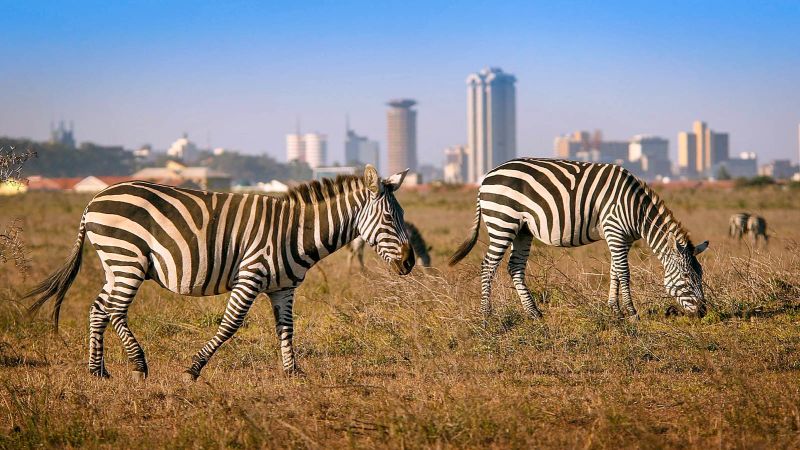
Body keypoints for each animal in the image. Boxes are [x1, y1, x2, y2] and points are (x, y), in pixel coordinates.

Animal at [22, 165, 416, 380]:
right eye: (388, 217)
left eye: (399, 216)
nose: (410, 263)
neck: (295, 232)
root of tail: (94, 199)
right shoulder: (251, 274)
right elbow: (230, 325)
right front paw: (192, 369)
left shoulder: (284, 287)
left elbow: (287, 328)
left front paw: (293, 372)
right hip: (128, 259)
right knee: (115, 310)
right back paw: (138, 364)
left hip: (116, 264)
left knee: (98, 308)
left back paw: (97, 370)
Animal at [450, 158, 712, 320]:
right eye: (686, 276)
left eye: (701, 276)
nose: (703, 312)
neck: (636, 210)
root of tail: (487, 176)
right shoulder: (615, 229)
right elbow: (624, 273)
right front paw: (632, 312)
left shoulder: (622, 238)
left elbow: (614, 271)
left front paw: (614, 310)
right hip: (502, 222)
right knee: (488, 266)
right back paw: (487, 315)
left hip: (522, 230)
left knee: (514, 267)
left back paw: (534, 313)